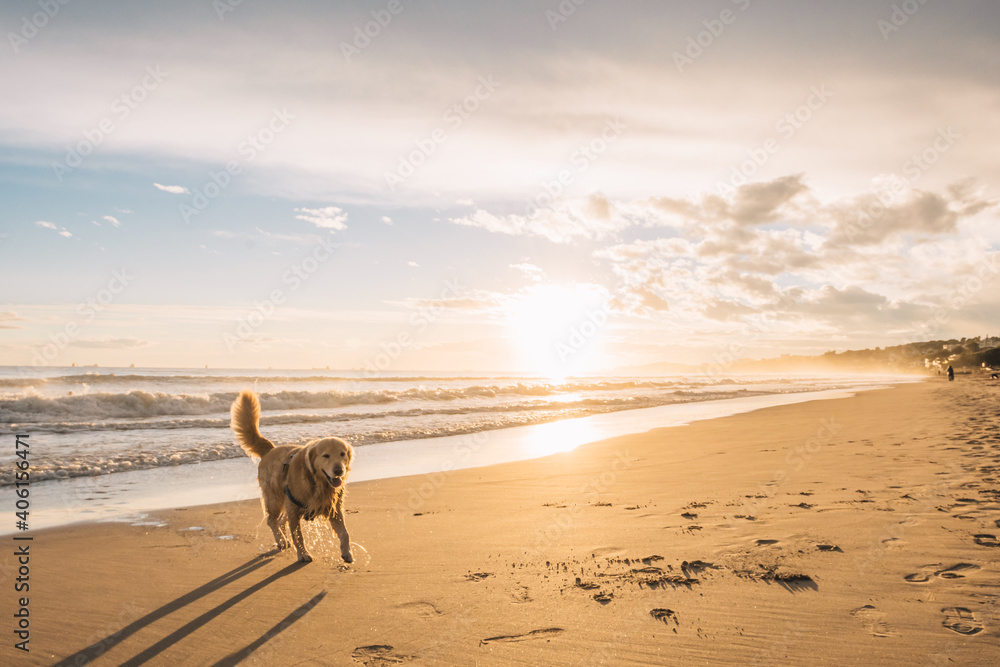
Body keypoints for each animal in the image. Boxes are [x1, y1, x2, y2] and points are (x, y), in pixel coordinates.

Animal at [229, 392, 354, 564]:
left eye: (342, 454)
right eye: (326, 455)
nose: (339, 470)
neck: (316, 482)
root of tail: (270, 449)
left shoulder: (333, 508)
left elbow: (345, 533)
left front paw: (347, 552)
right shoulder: (294, 509)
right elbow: (298, 536)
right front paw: (303, 554)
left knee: (281, 521)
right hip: (275, 499)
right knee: (272, 520)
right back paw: (281, 541)